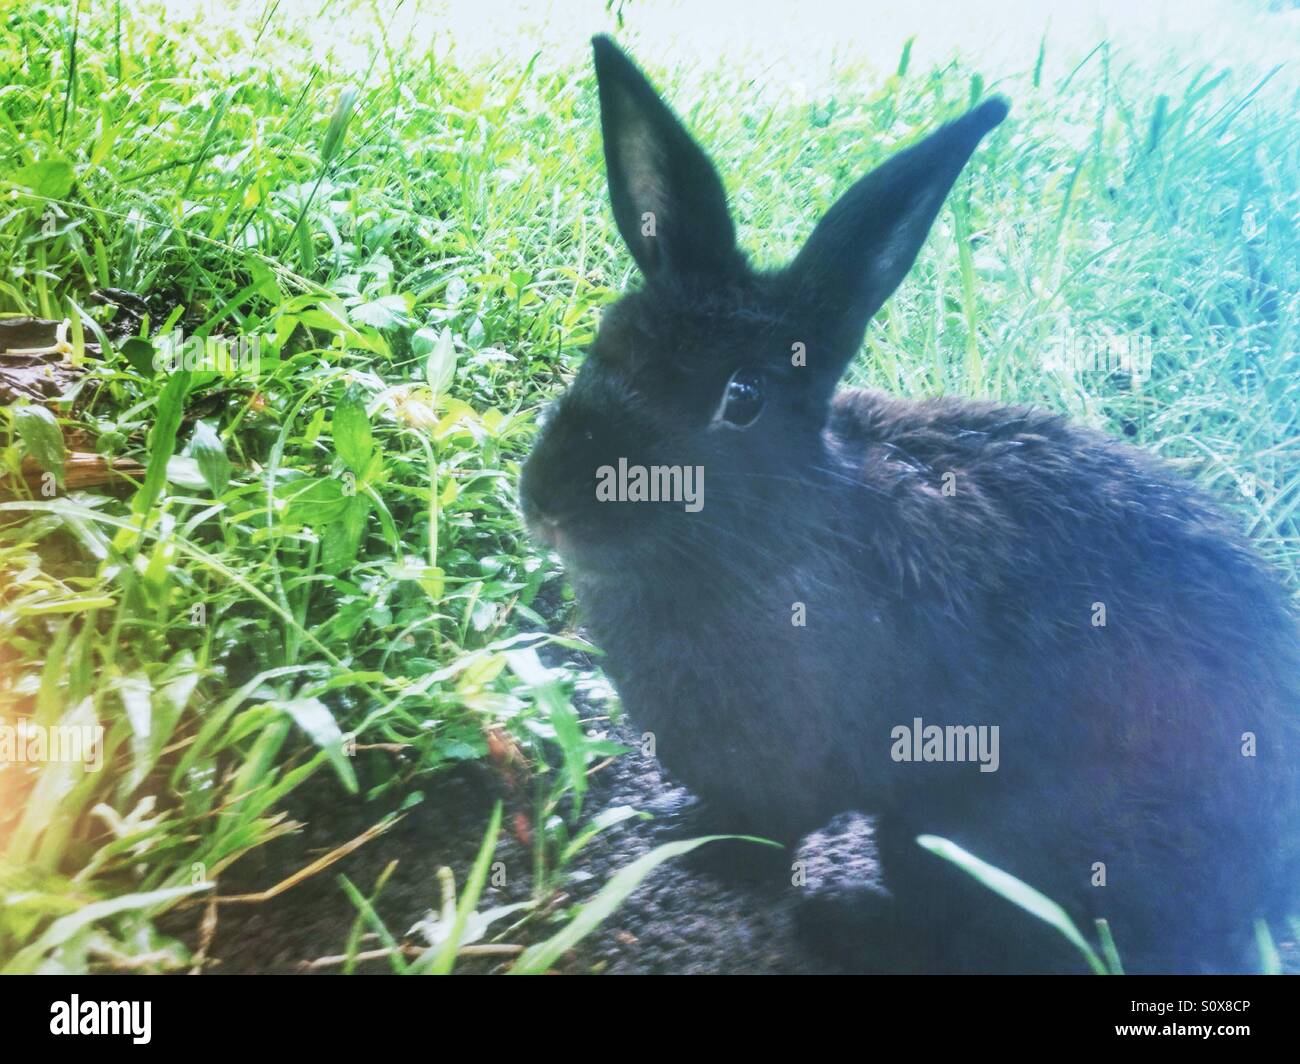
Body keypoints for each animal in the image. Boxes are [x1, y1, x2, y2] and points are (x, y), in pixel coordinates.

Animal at [519, 36, 1300, 974]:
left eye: (741, 399)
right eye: (605, 341)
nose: (549, 502)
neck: (781, 529)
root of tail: (1264, 890)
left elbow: (767, 829)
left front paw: (699, 851)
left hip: (966, 839)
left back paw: (842, 922)